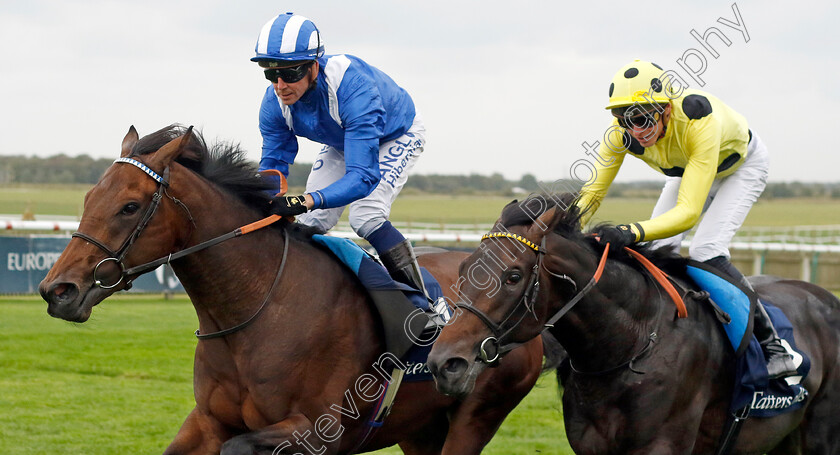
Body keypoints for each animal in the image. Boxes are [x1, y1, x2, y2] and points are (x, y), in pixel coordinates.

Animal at [39, 125, 548, 455]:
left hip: (478, 413)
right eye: (88, 198)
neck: (256, 311)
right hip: (419, 428)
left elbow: (240, 447)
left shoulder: (315, 430)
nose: (57, 290)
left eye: (129, 206)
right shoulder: (207, 421)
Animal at [426, 194, 840, 454]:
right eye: (464, 269)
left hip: (820, 435)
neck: (630, 346)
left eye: (512, 276)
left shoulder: (660, 446)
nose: (444, 363)